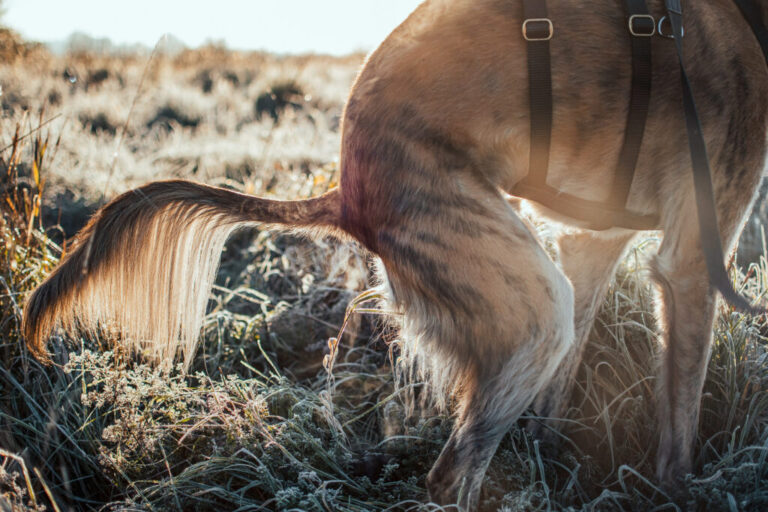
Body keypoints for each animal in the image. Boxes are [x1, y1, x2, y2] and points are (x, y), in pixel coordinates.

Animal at [22, 0, 768, 510]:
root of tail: (346, 191)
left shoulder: (593, 241)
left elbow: (557, 409)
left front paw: (554, 468)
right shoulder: (693, 260)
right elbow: (680, 422)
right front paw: (682, 493)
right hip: (531, 305)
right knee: (447, 476)